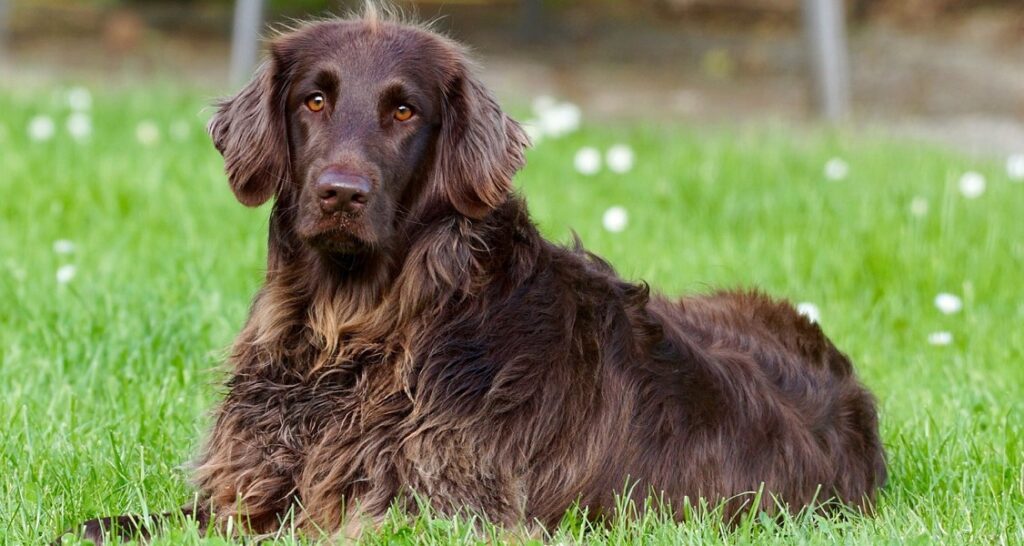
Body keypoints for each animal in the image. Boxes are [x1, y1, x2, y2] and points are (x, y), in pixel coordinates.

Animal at [61, 8, 880, 544]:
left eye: (403, 111)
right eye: (314, 99)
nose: (340, 193)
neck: (359, 332)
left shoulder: (434, 513)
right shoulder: (253, 484)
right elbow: (112, 524)